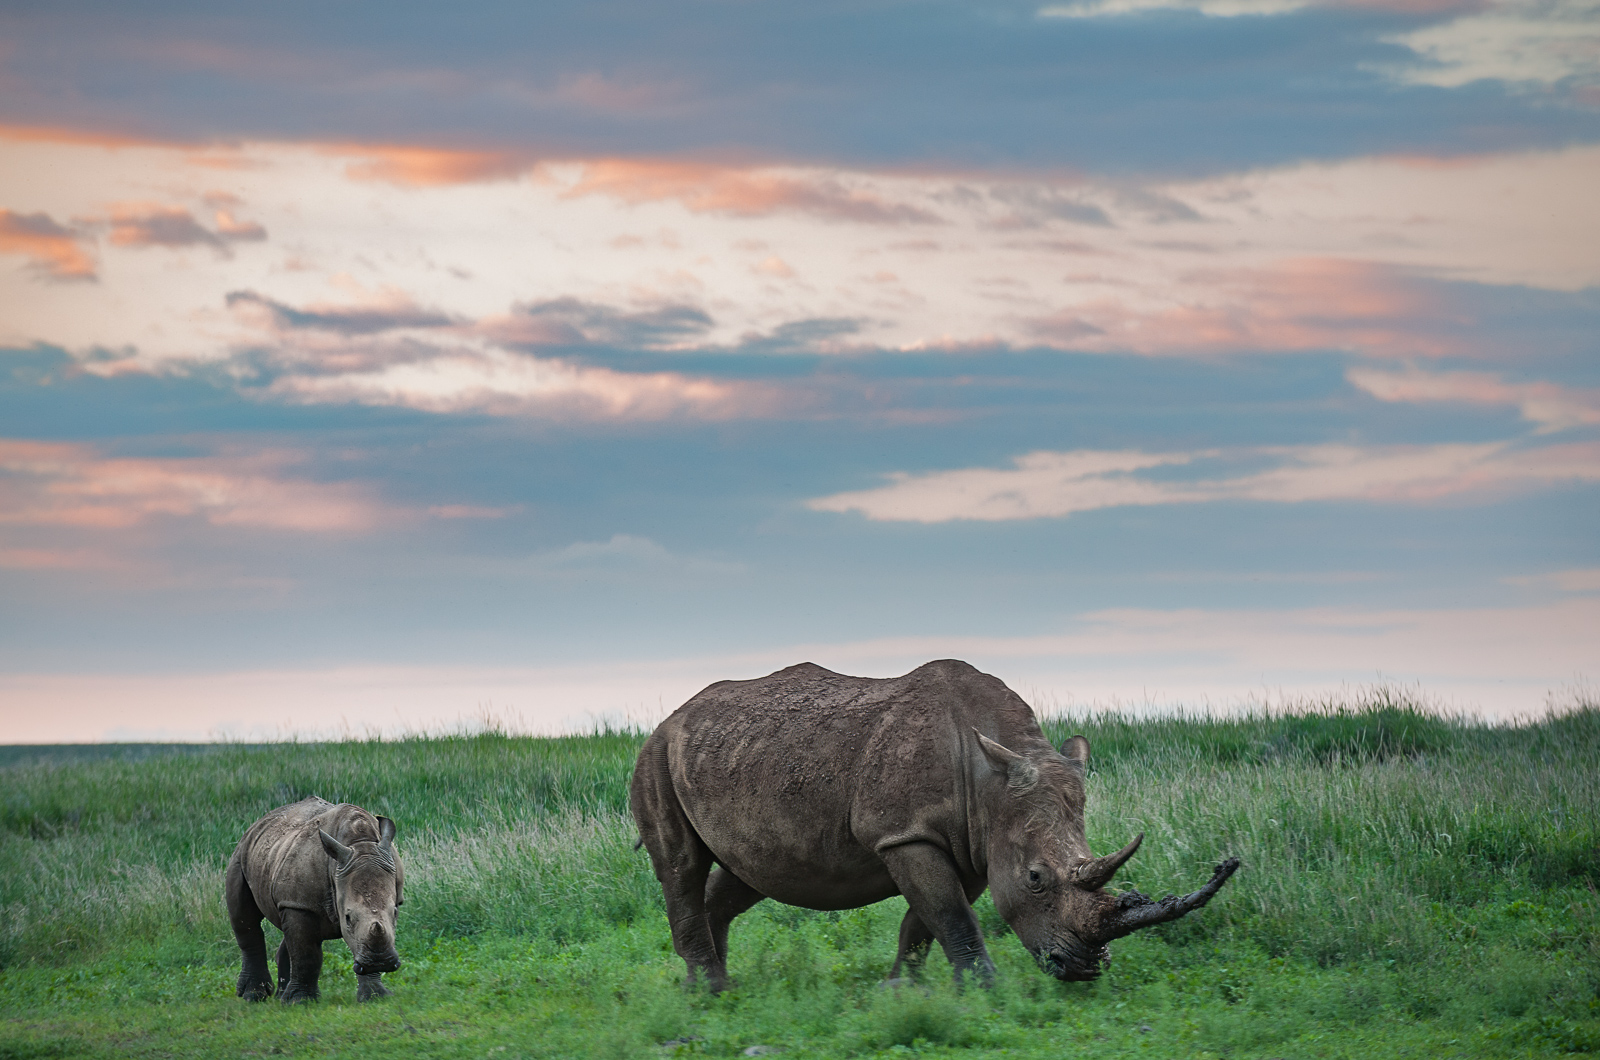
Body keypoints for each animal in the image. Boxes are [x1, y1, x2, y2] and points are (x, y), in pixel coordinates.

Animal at [225, 797, 404, 1003]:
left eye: (395, 912)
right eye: (348, 918)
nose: (379, 961)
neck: (361, 844)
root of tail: (258, 823)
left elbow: (358, 940)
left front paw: (375, 997)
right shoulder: (301, 904)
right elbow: (306, 954)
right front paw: (300, 1002)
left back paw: (280, 997)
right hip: (240, 854)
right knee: (245, 918)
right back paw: (253, 996)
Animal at [630, 660, 1238, 990]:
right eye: (1037, 879)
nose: (1083, 969)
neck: (990, 778)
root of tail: (672, 718)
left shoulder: (974, 841)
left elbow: (928, 919)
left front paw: (900, 987)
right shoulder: (907, 833)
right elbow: (951, 915)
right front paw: (985, 990)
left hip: (733, 759)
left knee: (747, 874)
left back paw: (712, 984)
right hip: (655, 757)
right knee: (681, 866)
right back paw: (709, 992)